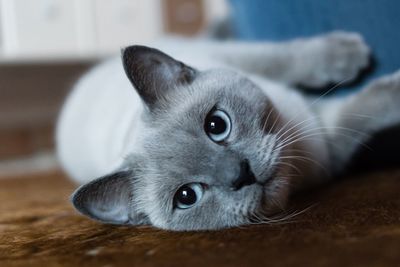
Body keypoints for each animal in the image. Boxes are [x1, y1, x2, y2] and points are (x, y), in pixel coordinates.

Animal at [56, 31, 400, 231]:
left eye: (216, 125)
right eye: (187, 196)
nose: (241, 175)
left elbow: (284, 59)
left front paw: (350, 56)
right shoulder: (331, 146)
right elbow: (367, 108)